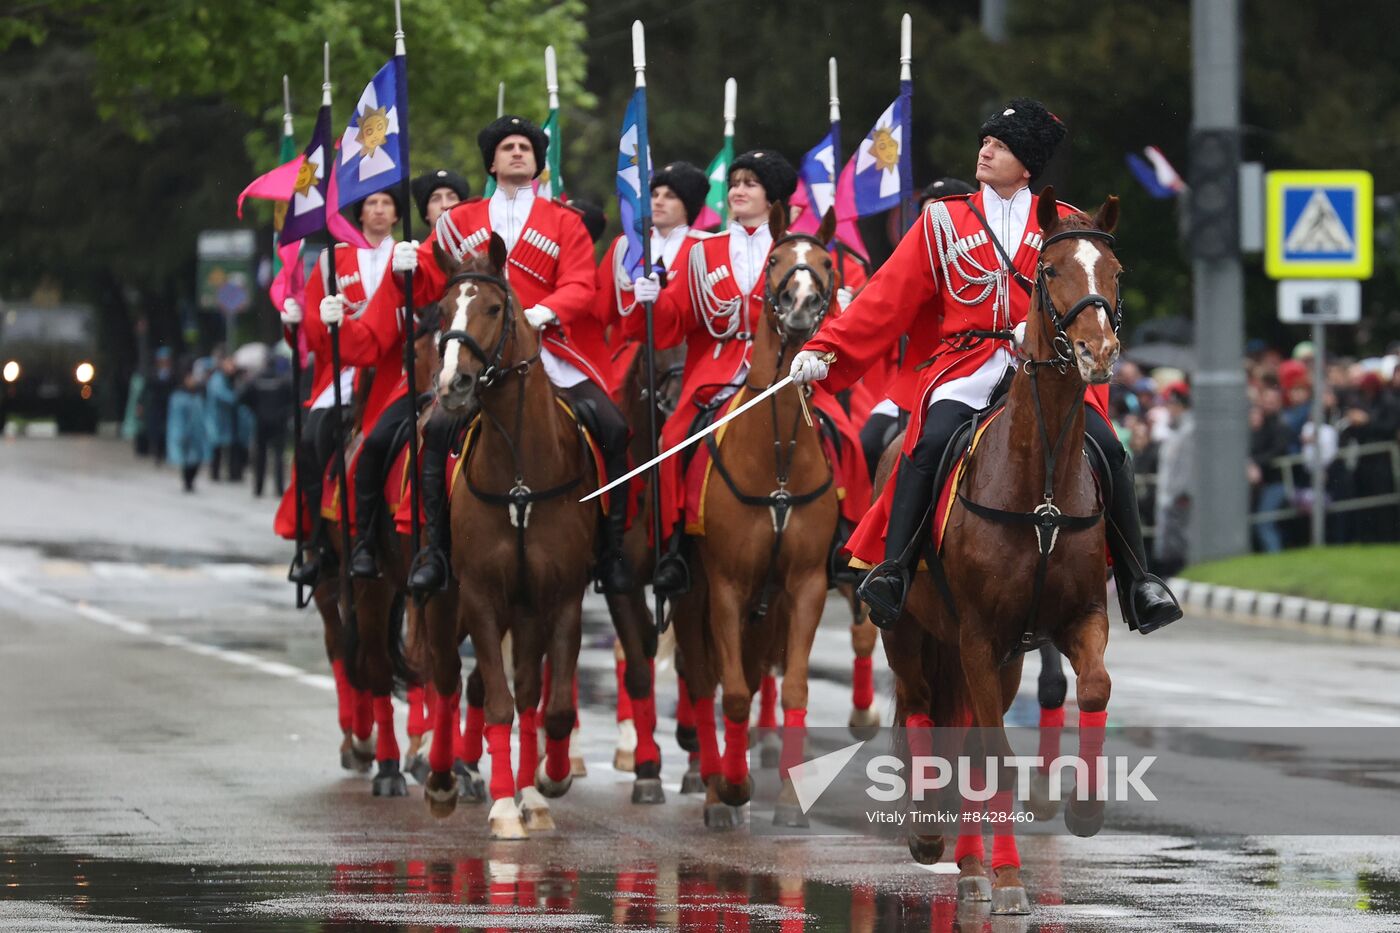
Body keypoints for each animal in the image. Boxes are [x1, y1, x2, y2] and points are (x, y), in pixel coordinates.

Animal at [411, 236, 593, 840]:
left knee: (524, 694)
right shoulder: (482, 597)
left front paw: (545, 785)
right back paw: (443, 780)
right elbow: (496, 703)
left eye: (493, 308)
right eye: (442, 311)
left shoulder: (558, 598)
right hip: (444, 600)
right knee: (447, 680)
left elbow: (549, 705)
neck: (520, 475)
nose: (452, 385)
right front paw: (501, 807)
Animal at [669, 205, 834, 829]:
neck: (778, 457)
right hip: (690, 599)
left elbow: (793, 690)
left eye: (826, 261)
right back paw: (715, 786)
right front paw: (733, 788)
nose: (802, 303)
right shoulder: (724, 587)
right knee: (702, 680)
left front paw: (788, 798)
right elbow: (734, 693)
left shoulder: (804, 586)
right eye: (775, 259)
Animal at [884, 190, 1125, 913]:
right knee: (919, 706)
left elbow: (1095, 687)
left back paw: (969, 863)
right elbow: (995, 757)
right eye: (1050, 271)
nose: (1098, 350)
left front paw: (1085, 809)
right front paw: (1012, 878)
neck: (1038, 480)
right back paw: (933, 839)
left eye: (1115, 271)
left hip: (997, 654)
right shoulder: (977, 633)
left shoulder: (1072, 620)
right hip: (911, 631)